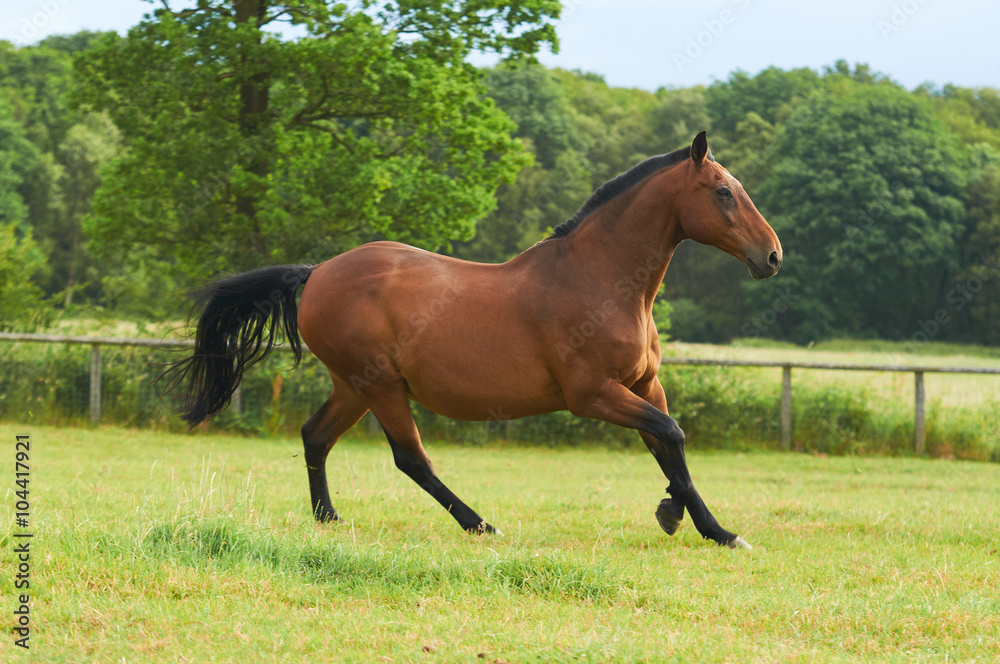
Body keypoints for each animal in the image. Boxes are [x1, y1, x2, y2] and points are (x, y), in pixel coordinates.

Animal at [162, 131, 782, 550]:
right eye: (723, 192)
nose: (772, 256)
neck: (600, 279)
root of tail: (315, 273)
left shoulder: (644, 385)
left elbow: (667, 445)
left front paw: (694, 520)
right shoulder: (592, 395)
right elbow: (671, 436)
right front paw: (703, 525)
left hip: (354, 386)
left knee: (315, 437)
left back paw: (329, 518)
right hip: (382, 387)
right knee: (411, 459)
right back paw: (480, 523)